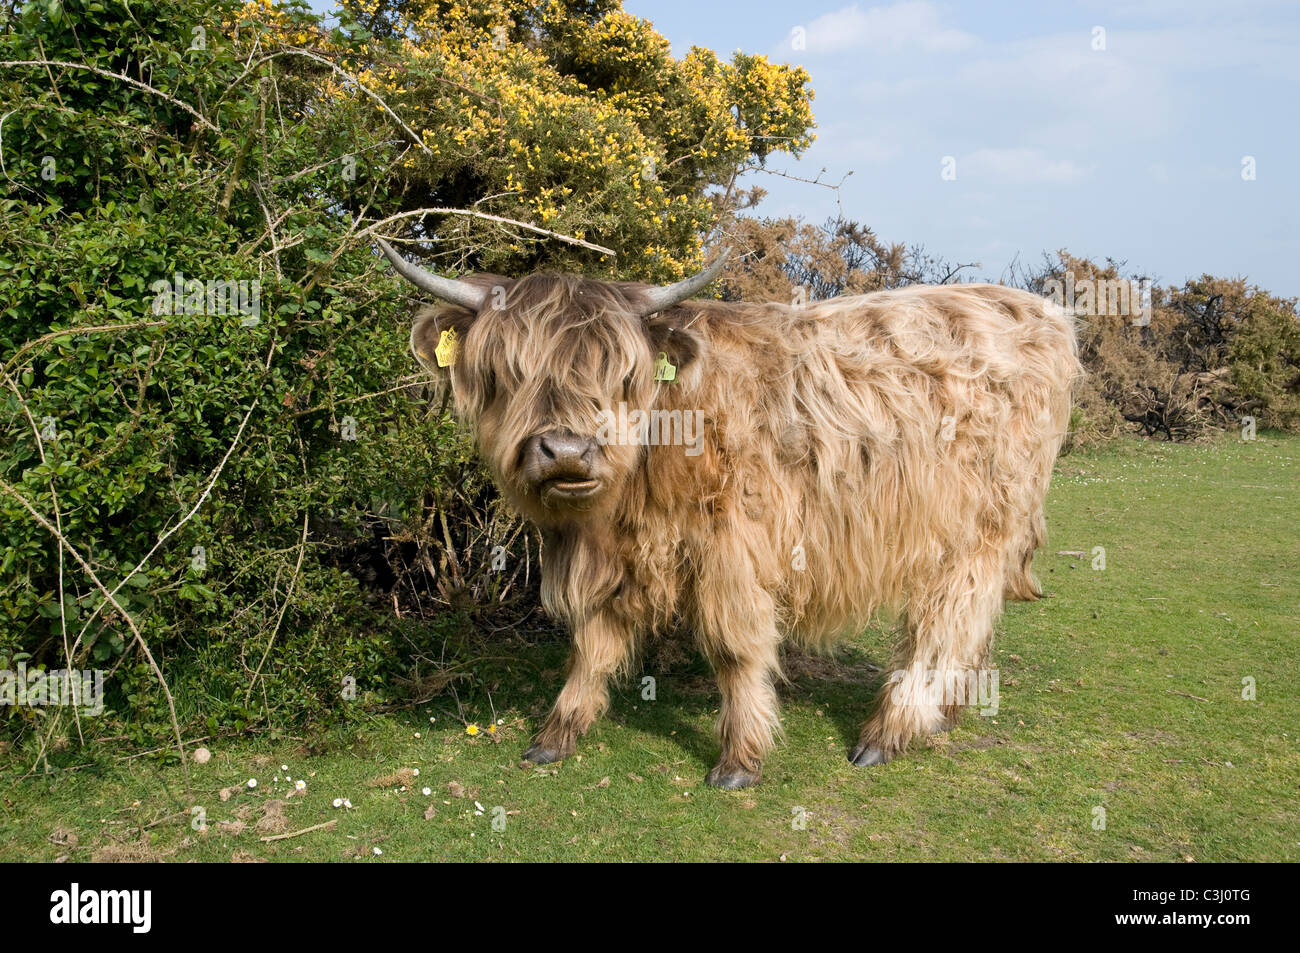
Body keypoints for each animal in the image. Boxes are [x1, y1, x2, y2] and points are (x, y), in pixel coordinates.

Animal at [379, 237, 1081, 790]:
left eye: (621, 373)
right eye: (507, 370)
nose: (569, 450)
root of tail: (1034, 310)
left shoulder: (733, 549)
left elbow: (735, 647)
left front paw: (739, 759)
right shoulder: (612, 557)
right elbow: (592, 643)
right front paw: (557, 733)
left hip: (976, 531)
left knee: (947, 622)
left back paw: (889, 731)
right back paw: (948, 710)